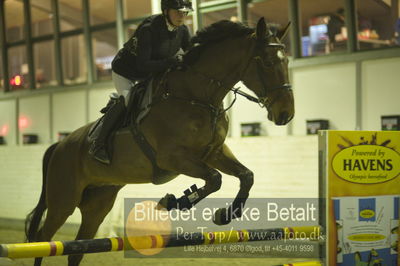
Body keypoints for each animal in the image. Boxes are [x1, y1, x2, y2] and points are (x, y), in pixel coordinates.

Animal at [24, 17, 294, 264]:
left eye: (287, 61)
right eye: (267, 62)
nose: (285, 114)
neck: (198, 96)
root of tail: (59, 145)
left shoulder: (214, 152)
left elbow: (246, 176)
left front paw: (222, 215)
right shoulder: (173, 157)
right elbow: (214, 179)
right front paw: (174, 201)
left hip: (98, 202)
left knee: (77, 248)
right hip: (63, 199)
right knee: (43, 238)